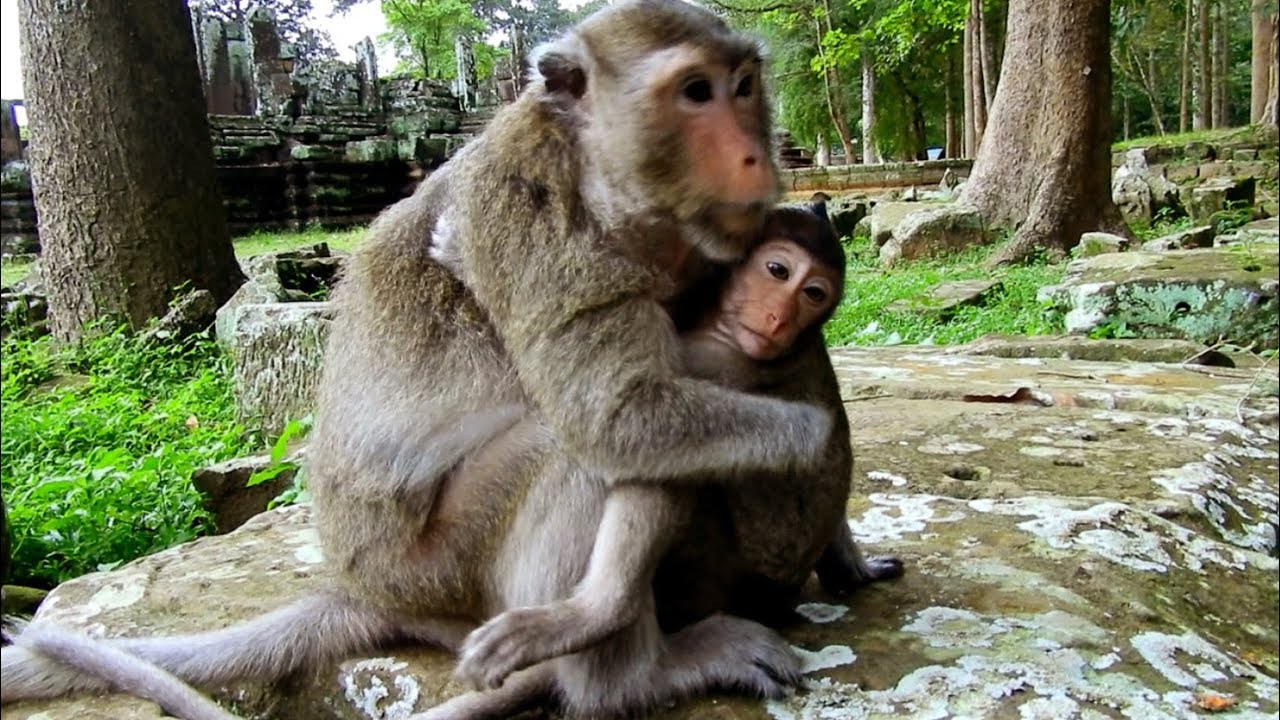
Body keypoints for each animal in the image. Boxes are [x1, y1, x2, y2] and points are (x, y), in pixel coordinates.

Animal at [2, 2, 896, 717]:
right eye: (694, 92)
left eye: (743, 84)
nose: (756, 154)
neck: (599, 174)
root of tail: (358, 584)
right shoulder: (531, 224)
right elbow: (619, 419)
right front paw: (820, 447)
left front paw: (843, 548)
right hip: (435, 570)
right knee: (579, 449)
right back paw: (632, 675)